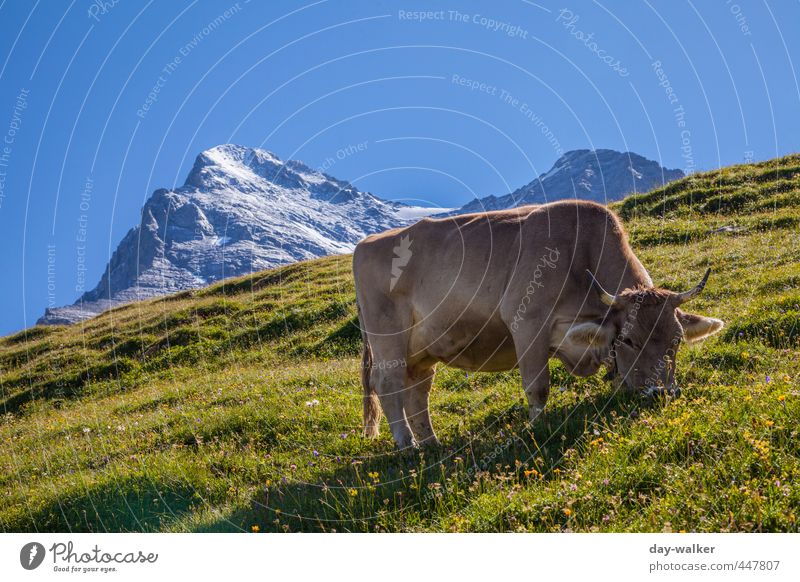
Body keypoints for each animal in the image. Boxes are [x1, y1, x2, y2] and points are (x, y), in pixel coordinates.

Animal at [354, 202, 720, 452]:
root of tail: (368, 242)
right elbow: (538, 385)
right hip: (388, 342)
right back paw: (408, 445)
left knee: (417, 391)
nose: (660, 393)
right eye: (629, 340)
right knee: (389, 385)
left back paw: (431, 443)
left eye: (676, 340)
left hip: (422, 350)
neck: (580, 254)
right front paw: (537, 428)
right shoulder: (527, 322)